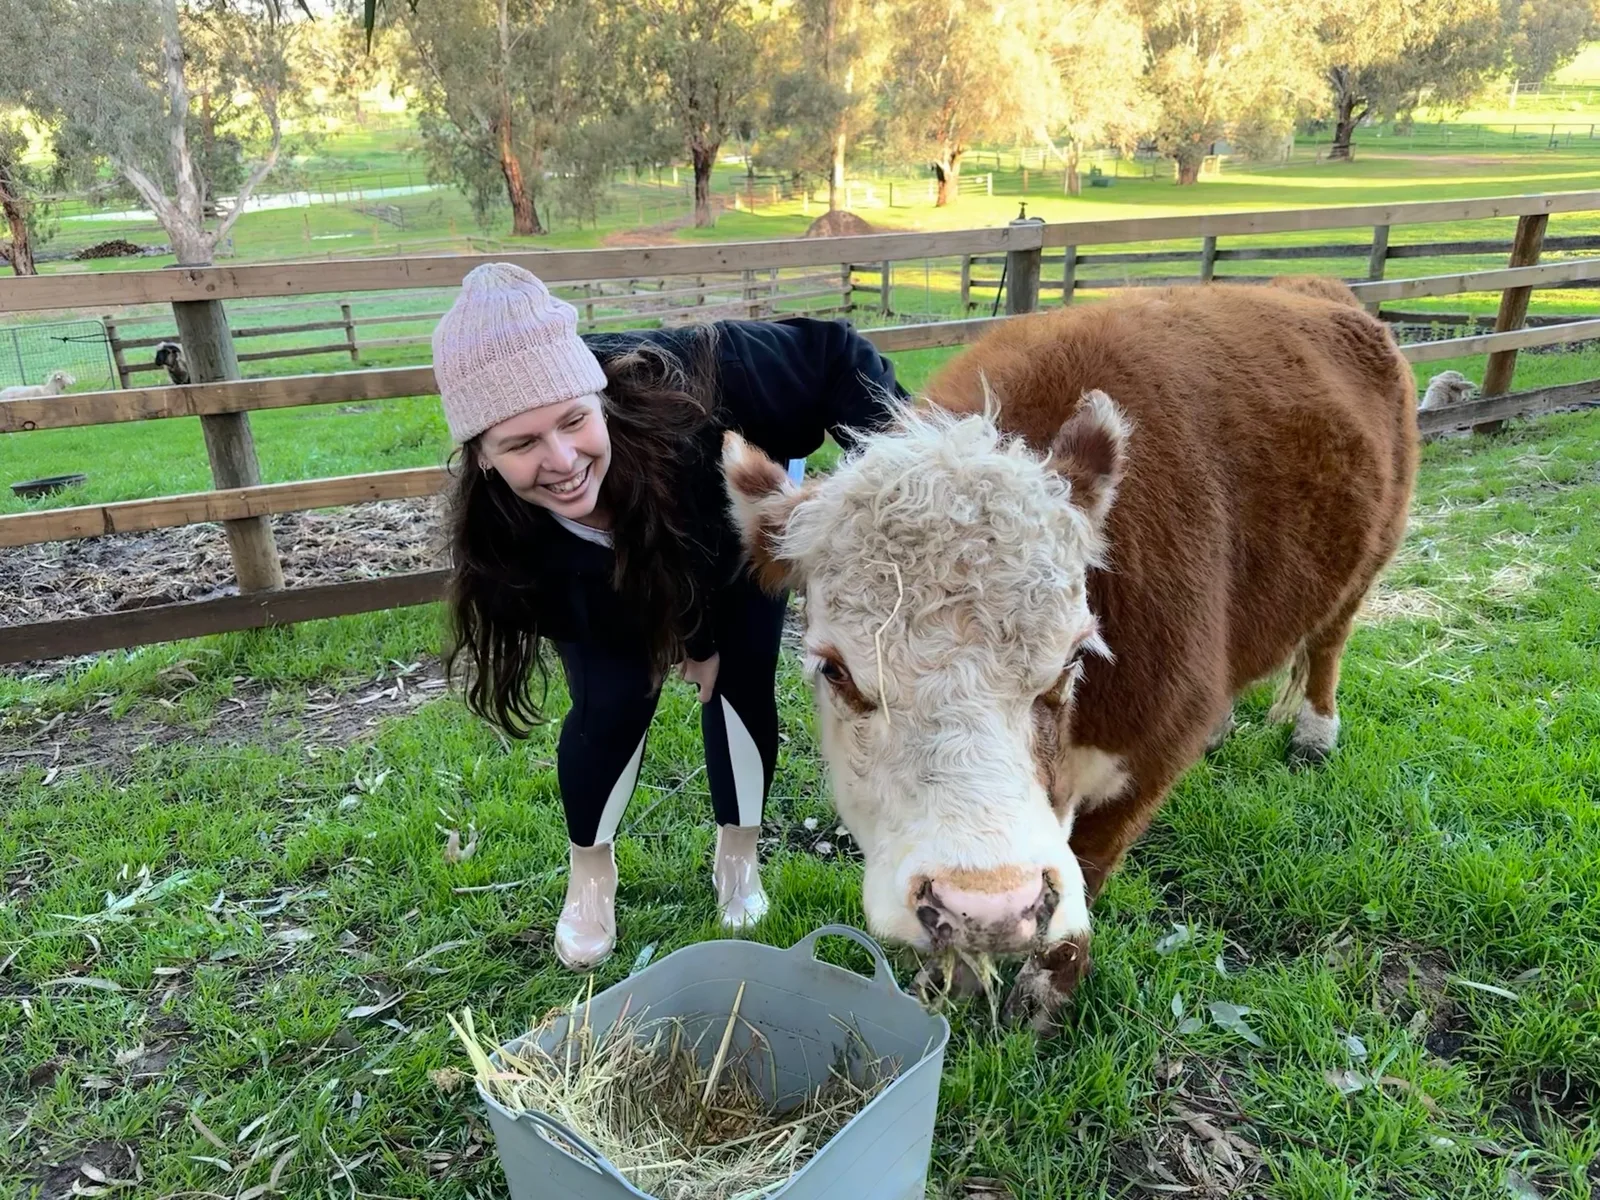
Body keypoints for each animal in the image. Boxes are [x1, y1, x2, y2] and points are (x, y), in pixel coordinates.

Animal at [722, 278, 1420, 1032]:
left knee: (1330, 639)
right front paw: (961, 977)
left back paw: (1316, 730)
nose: (987, 907)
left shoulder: (1152, 750)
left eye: (1069, 663)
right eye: (836, 670)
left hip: (1371, 558)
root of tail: (1318, 290)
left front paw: (1048, 988)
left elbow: (1090, 860)